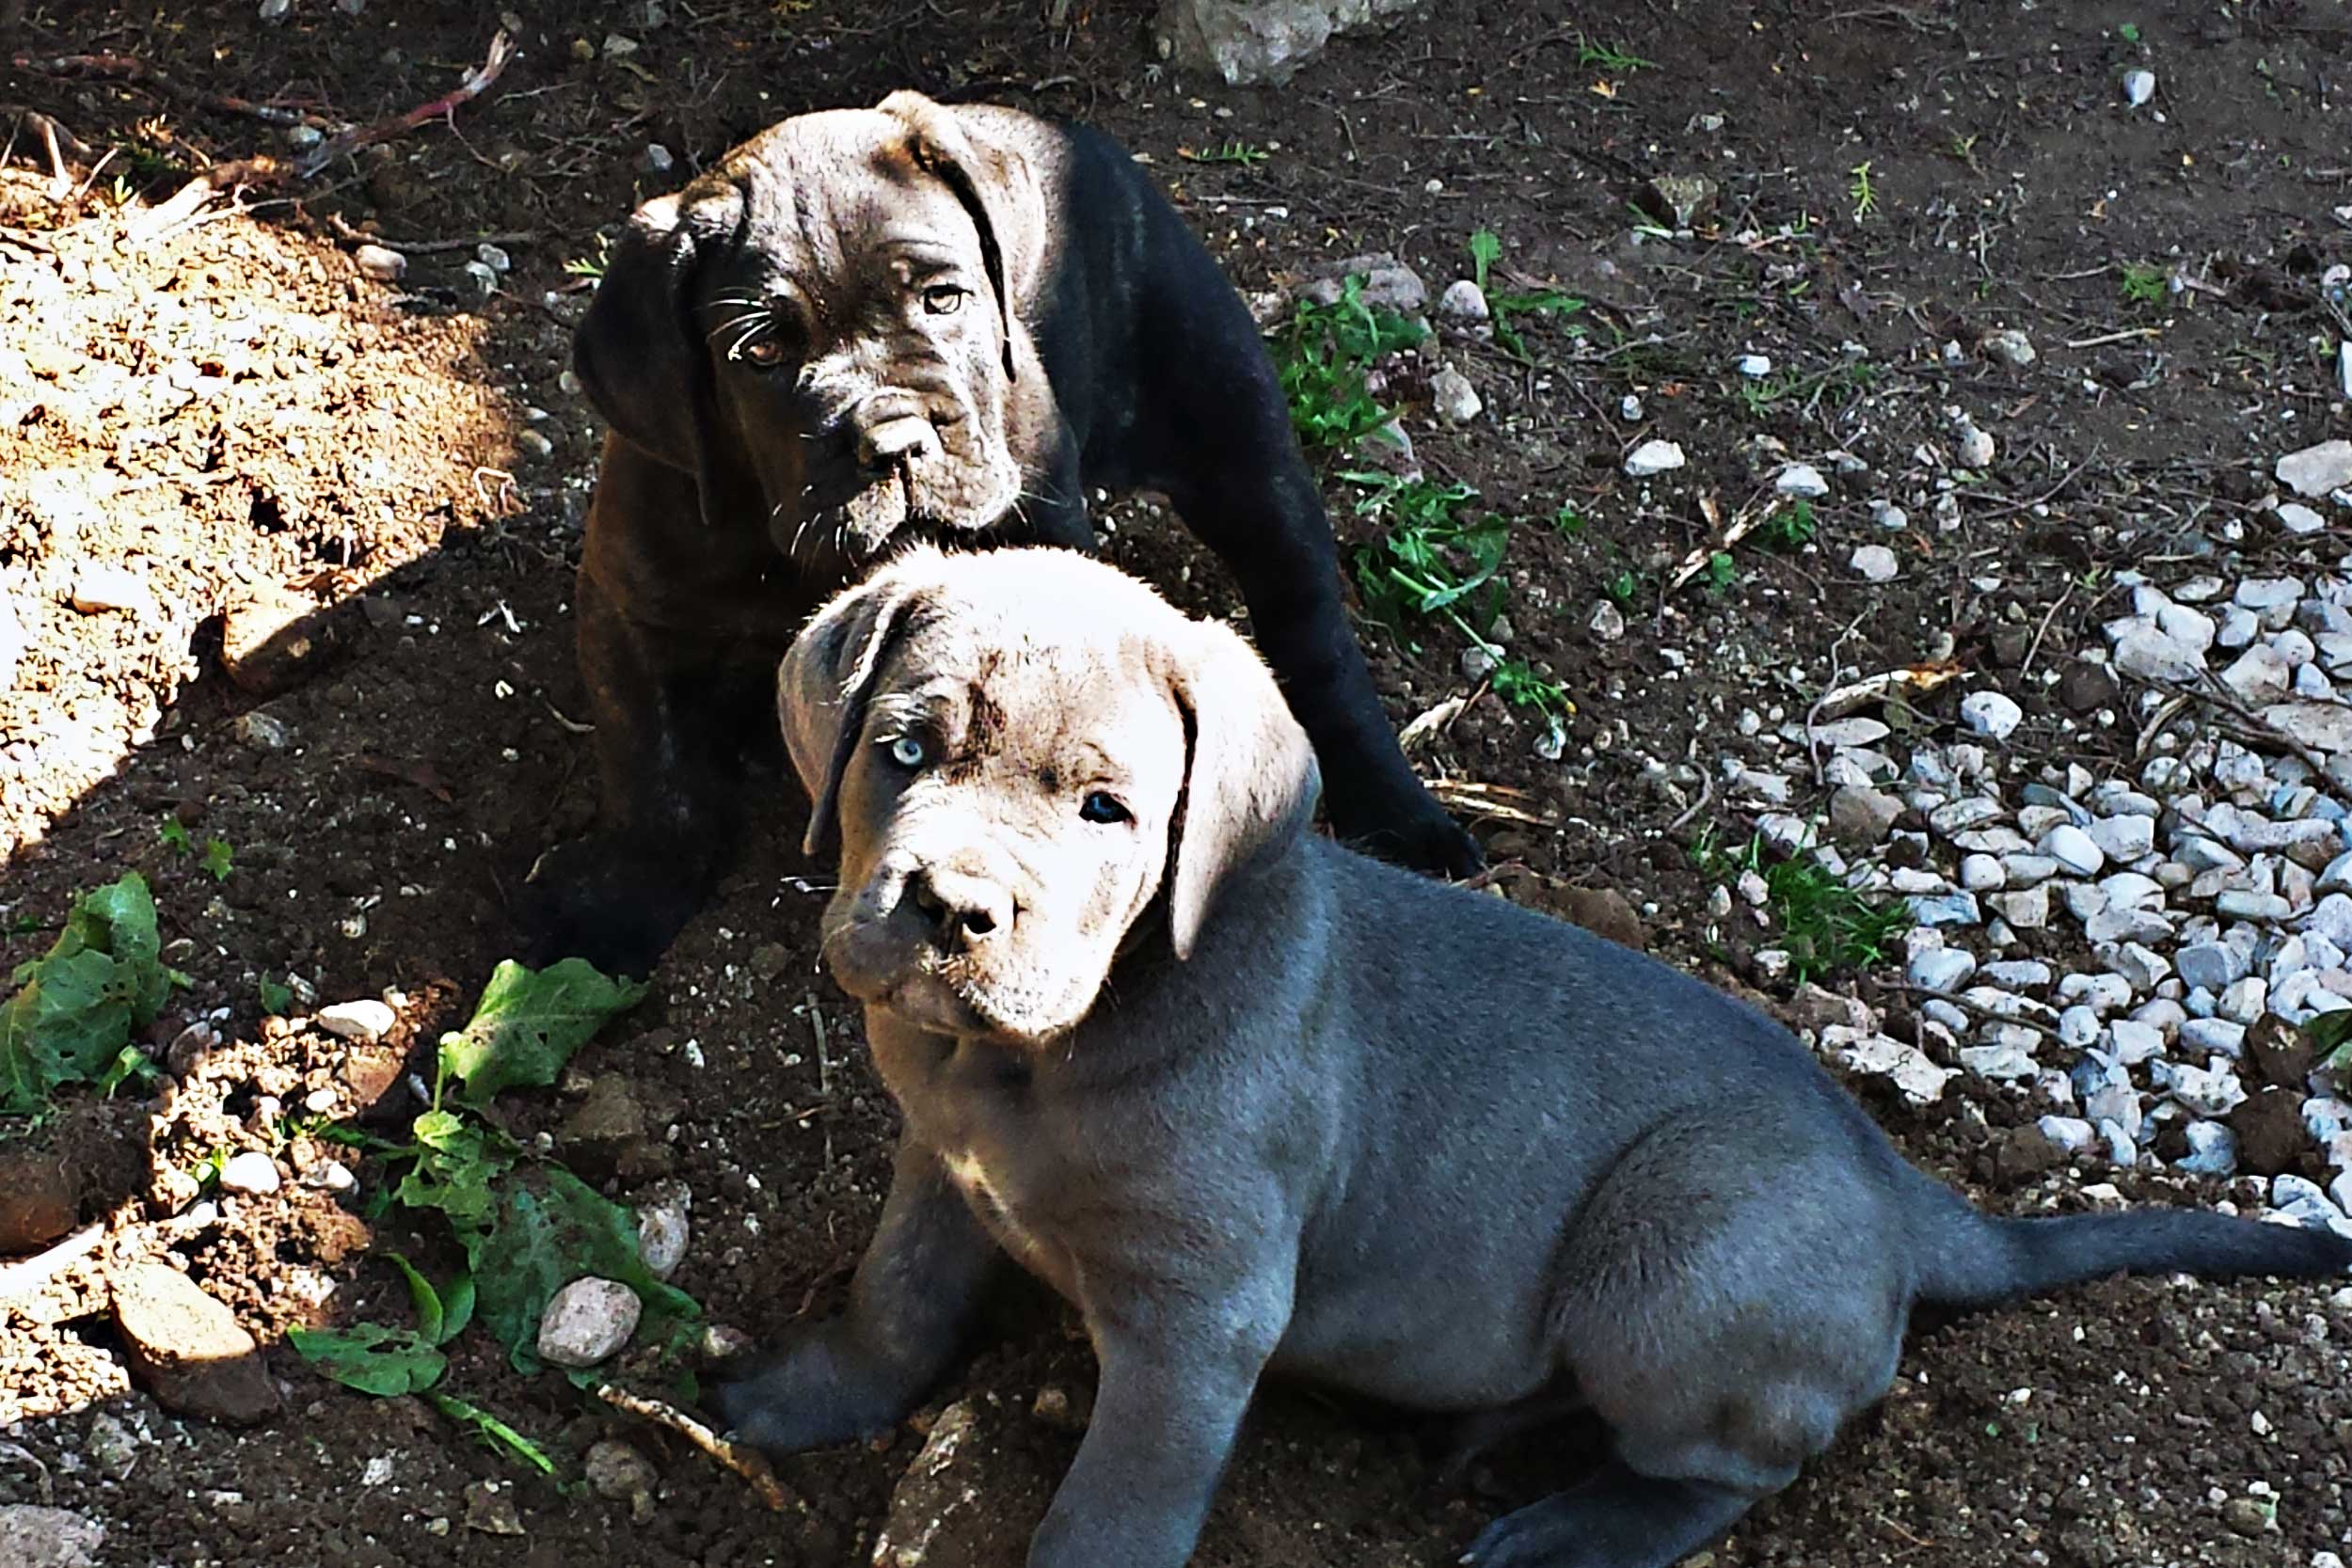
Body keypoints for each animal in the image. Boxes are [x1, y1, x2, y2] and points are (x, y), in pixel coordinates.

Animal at [527, 88, 1477, 982]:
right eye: (758, 354)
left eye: (943, 298)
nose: (894, 439)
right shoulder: (631, 608)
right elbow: (653, 773)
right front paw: (622, 910)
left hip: (1240, 449)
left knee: (1313, 635)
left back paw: (1403, 815)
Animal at [720, 543, 2352, 1568]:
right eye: (903, 748)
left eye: (1105, 808)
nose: (949, 907)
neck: (1032, 1060)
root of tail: (1901, 1187)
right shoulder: (938, 1162)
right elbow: (896, 1300)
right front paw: (789, 1399)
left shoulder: (1201, 1312)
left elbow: (1119, 1495)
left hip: (1677, 1252)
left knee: (1741, 1458)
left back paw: (1573, 1524)